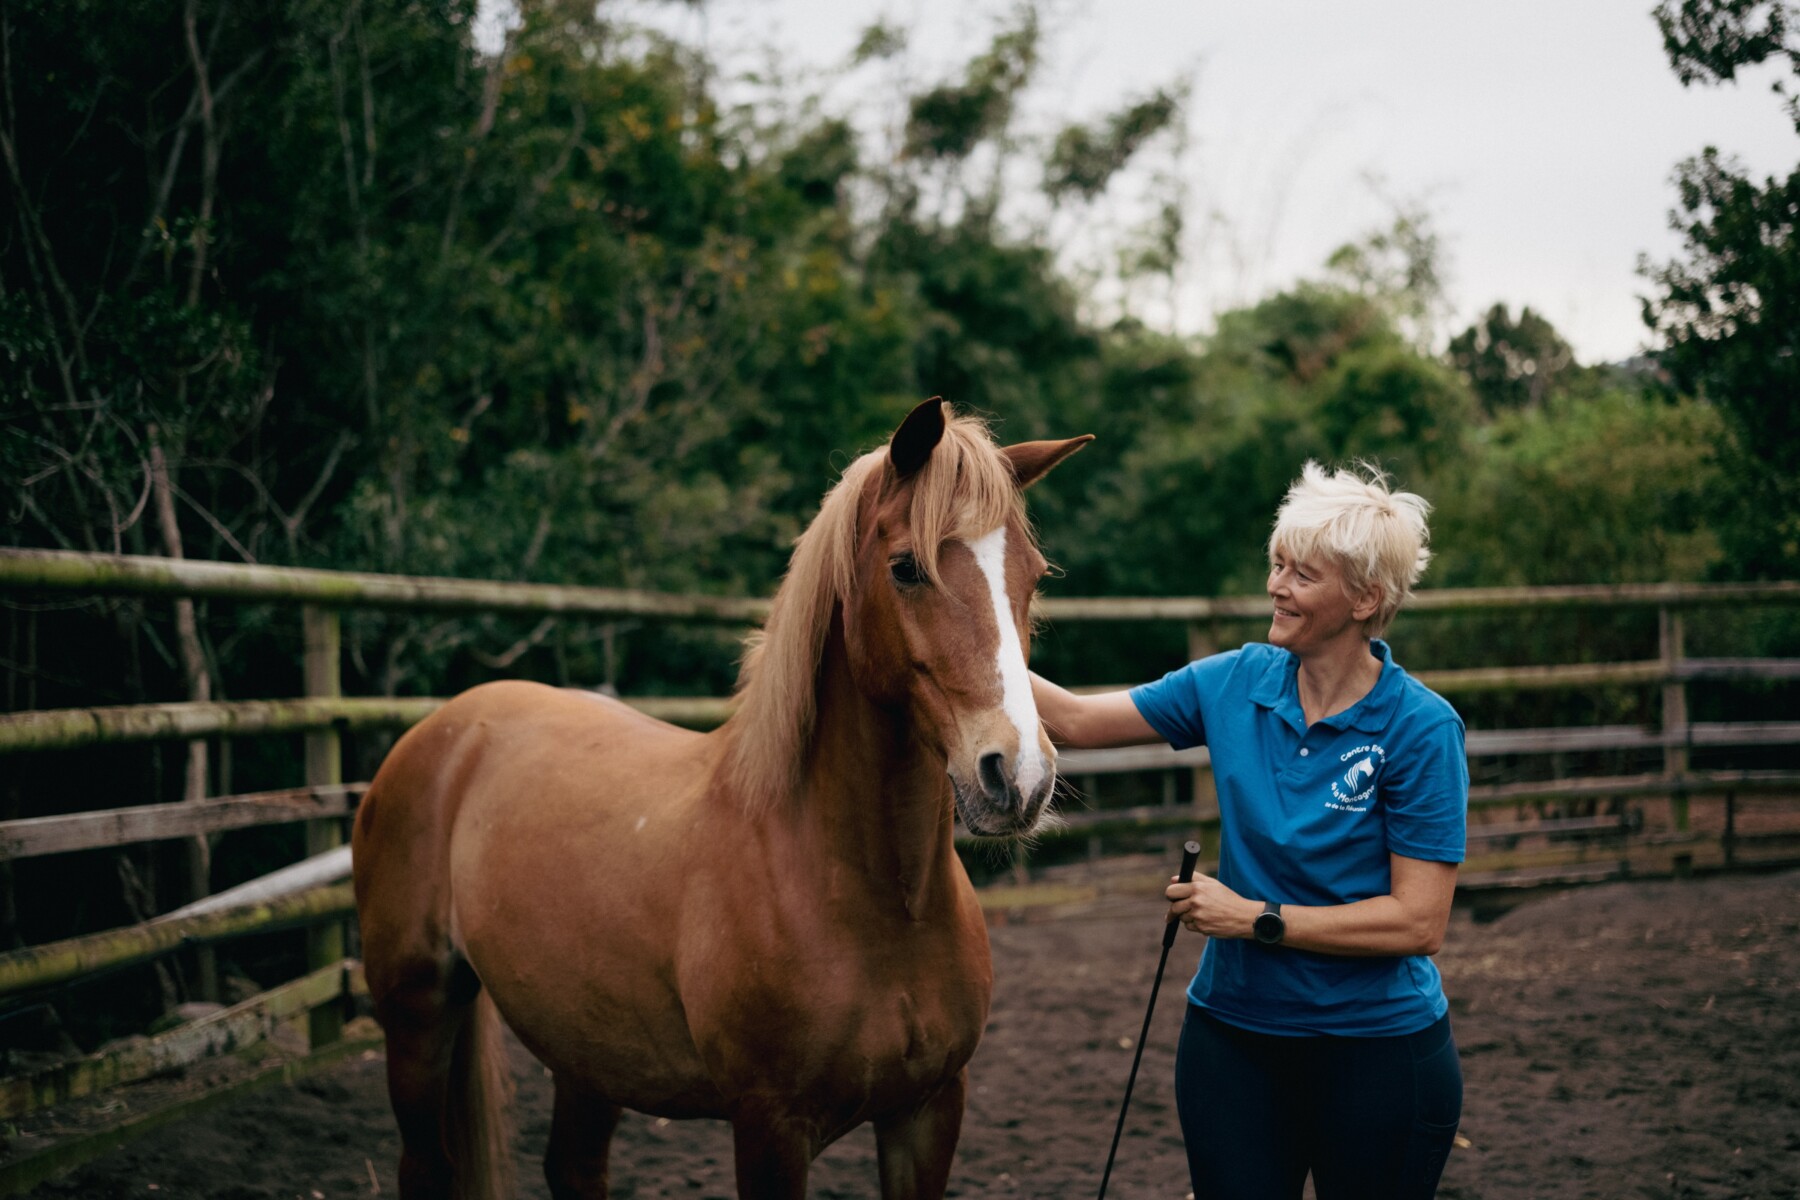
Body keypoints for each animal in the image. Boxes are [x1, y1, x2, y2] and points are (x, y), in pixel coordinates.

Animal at [347, 402, 1080, 1200]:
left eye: (1031, 577)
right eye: (906, 568)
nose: (1018, 776)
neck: (878, 904)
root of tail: (448, 728)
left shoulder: (928, 1112)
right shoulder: (770, 1129)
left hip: (587, 1052)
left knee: (572, 1166)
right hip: (417, 1022)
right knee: (425, 1165)